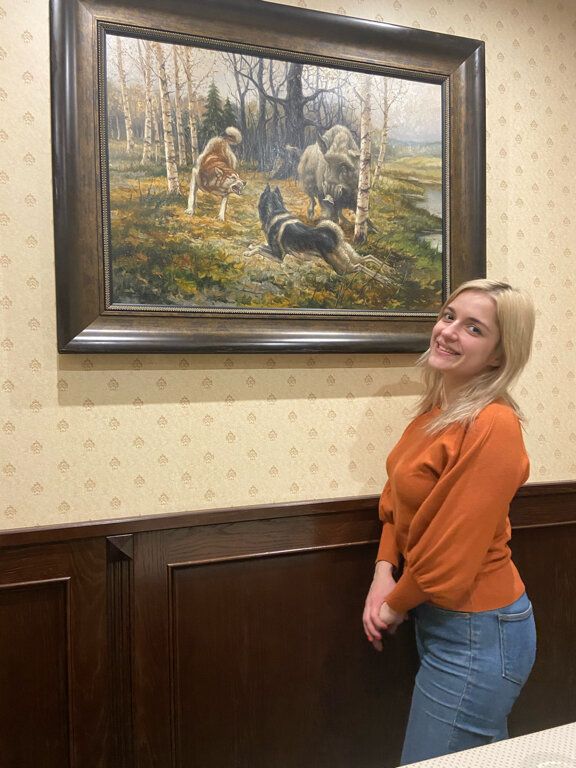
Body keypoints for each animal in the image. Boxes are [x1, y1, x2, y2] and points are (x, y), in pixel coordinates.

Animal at [246, 185, 392, 285]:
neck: (275, 212)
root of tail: (333, 235)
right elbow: (260, 245)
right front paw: (250, 247)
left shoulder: (278, 257)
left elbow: (259, 249)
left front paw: (248, 252)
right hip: (351, 257)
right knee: (368, 258)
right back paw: (387, 272)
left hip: (342, 267)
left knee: (360, 267)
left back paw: (384, 278)